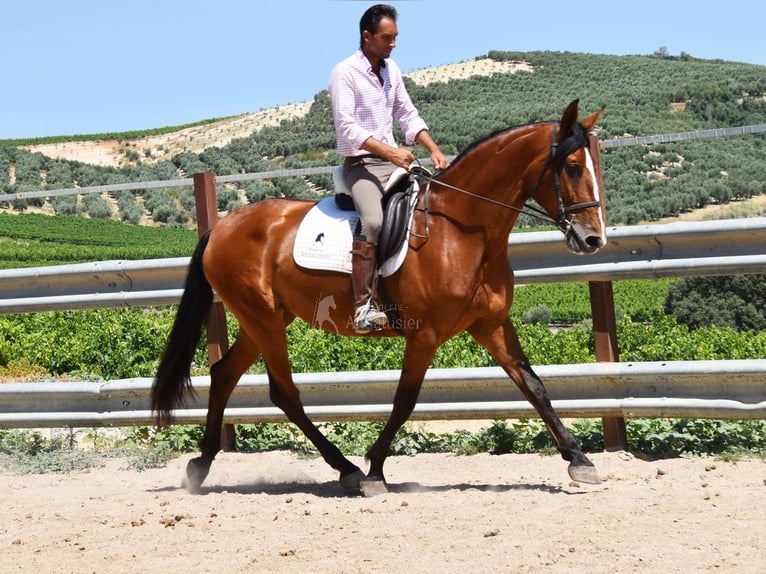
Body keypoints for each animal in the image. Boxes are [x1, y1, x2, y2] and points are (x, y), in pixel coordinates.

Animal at [150, 100, 608, 496]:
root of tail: (222, 227)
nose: (593, 240)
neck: (463, 230)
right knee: (284, 393)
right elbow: (405, 400)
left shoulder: (491, 325)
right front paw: (375, 470)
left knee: (225, 374)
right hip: (261, 318)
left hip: (266, 319)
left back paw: (202, 465)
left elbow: (534, 385)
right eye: (571, 167)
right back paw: (347, 469)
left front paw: (580, 461)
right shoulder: (425, 335)